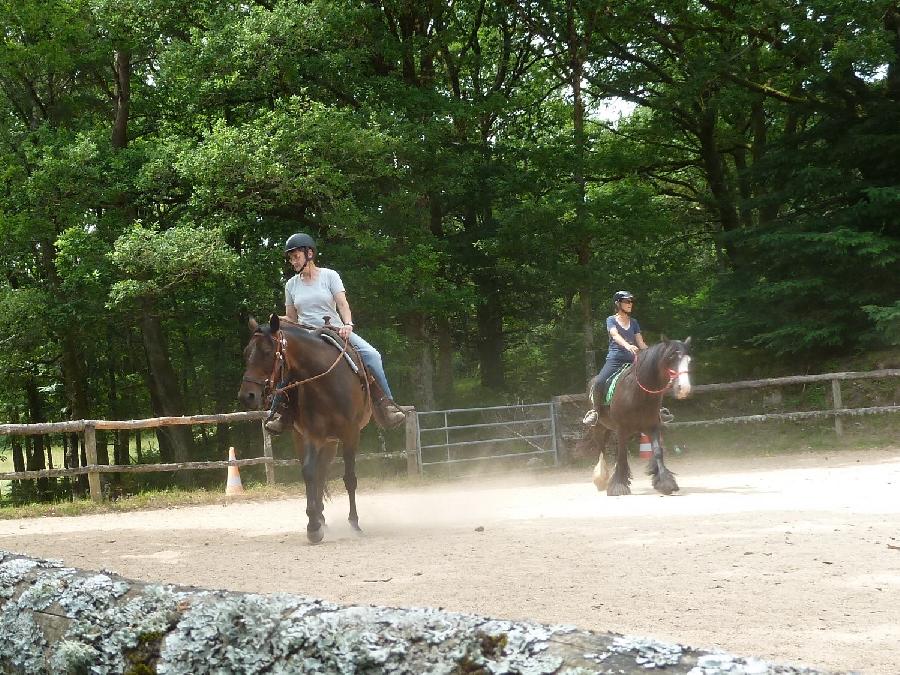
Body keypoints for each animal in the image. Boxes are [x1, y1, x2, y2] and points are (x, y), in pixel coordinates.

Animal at [237, 316, 370, 544]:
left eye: (267, 352)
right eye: (246, 352)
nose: (247, 396)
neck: (326, 383)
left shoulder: (351, 434)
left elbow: (350, 479)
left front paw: (354, 523)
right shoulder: (312, 435)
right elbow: (309, 473)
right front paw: (313, 525)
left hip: (332, 442)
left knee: (324, 473)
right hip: (308, 439)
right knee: (319, 474)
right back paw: (321, 518)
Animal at [584, 338, 688, 496]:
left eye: (689, 360)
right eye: (670, 358)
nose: (684, 388)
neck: (638, 393)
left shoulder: (652, 426)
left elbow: (657, 452)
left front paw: (665, 483)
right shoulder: (622, 429)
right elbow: (621, 455)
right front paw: (619, 486)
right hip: (599, 428)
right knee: (601, 450)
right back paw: (601, 479)